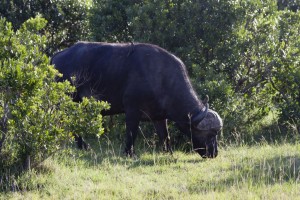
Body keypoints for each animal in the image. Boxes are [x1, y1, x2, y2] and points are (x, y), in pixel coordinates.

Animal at [51, 41, 223, 158]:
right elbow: (131, 132)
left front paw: (168, 152)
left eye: (216, 134)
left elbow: (165, 136)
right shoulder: (132, 110)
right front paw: (129, 153)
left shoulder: (159, 117)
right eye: (209, 134)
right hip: (68, 102)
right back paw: (83, 145)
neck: (162, 79)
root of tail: (55, 58)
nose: (214, 153)